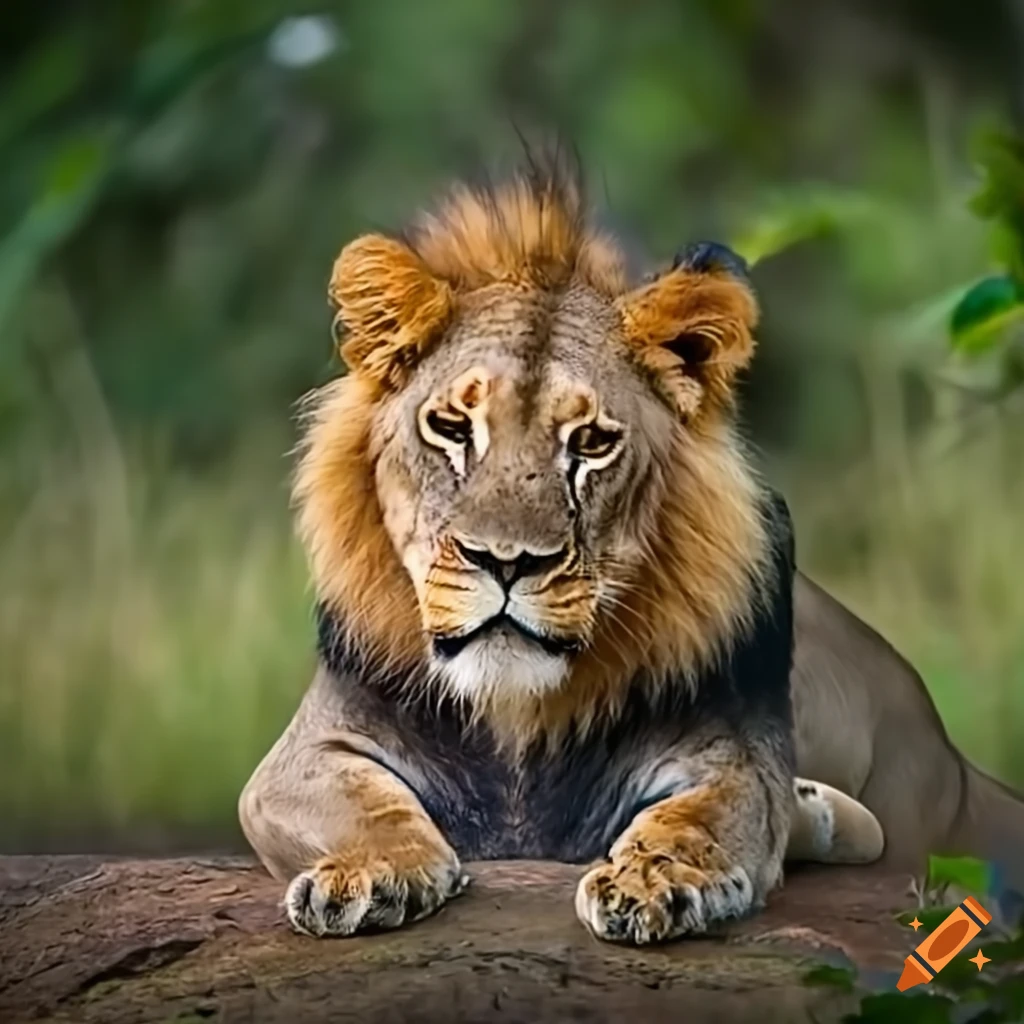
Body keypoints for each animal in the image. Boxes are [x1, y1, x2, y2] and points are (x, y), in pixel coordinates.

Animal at [239, 157, 1022, 945]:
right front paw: (365, 872)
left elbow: (698, 818)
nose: (506, 562)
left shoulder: (735, 759)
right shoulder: (299, 758)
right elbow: (362, 806)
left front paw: (652, 881)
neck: (515, 714)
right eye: (452, 428)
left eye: (589, 443)